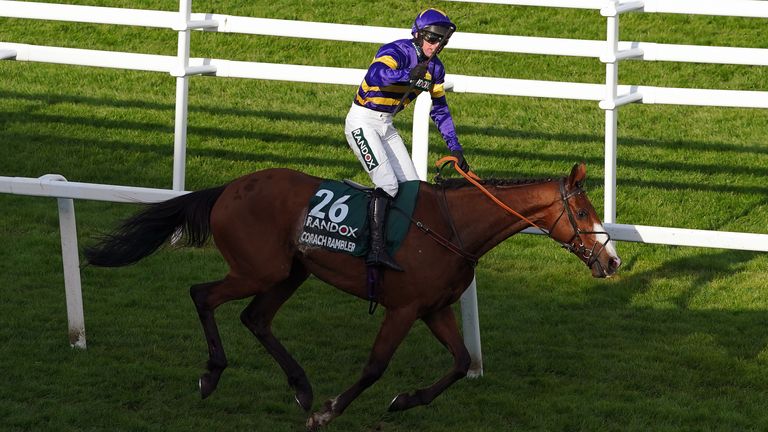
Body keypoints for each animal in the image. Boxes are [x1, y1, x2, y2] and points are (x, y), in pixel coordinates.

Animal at [87, 162, 620, 428]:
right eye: (583, 211)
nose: (612, 261)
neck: (453, 228)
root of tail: (228, 188)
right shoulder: (403, 309)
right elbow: (374, 366)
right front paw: (330, 410)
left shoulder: (435, 309)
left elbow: (460, 361)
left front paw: (405, 400)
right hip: (258, 270)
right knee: (202, 295)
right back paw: (212, 375)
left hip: (290, 273)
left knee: (256, 319)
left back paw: (300, 386)